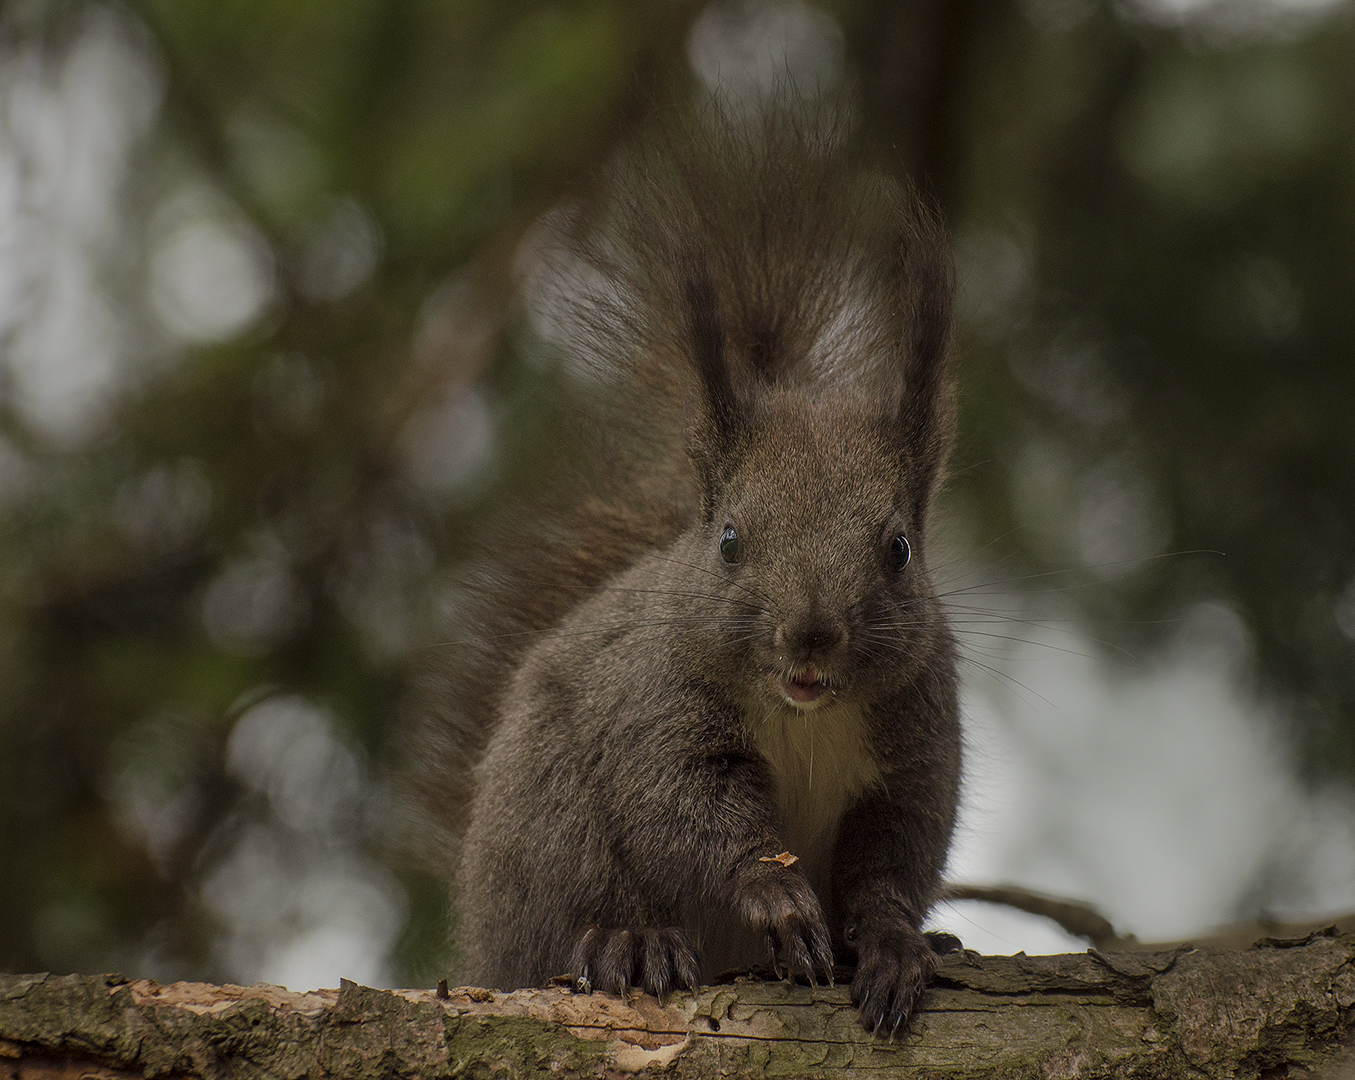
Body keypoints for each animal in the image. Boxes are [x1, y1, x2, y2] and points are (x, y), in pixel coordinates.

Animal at [409, 102, 962, 1036]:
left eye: (898, 549)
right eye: (730, 540)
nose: (810, 634)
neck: (806, 715)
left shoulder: (914, 741)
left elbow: (894, 856)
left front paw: (892, 944)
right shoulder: (655, 704)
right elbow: (684, 808)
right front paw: (772, 893)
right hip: (546, 815)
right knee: (569, 912)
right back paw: (624, 943)